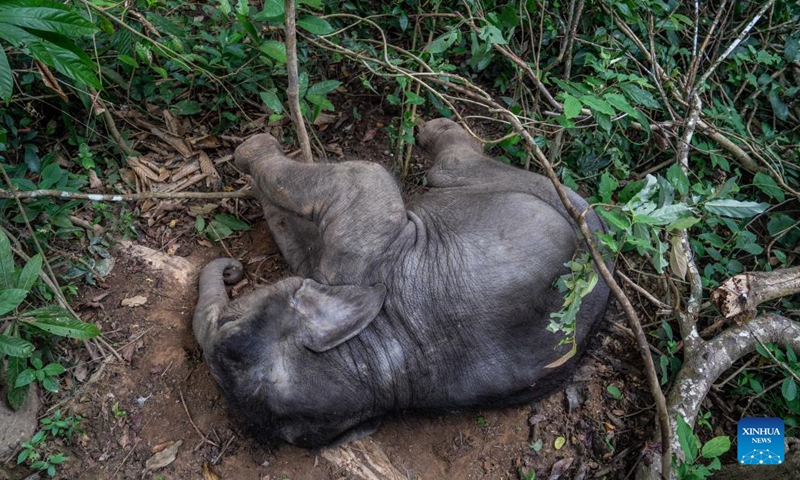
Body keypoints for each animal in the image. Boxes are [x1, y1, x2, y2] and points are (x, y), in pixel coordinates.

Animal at [193, 118, 612, 448]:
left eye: (229, 328)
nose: (232, 270)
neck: (373, 356)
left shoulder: (363, 252)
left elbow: (361, 177)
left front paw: (251, 150)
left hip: (518, 187)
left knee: (451, 166)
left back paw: (432, 130)